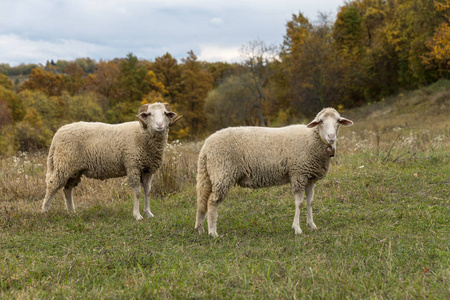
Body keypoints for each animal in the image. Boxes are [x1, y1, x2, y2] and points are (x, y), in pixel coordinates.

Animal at [40, 102, 181, 219]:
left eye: (165, 113)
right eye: (150, 114)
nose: (159, 125)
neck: (143, 134)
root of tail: (57, 134)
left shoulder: (148, 169)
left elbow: (147, 191)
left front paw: (148, 213)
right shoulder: (133, 165)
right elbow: (137, 192)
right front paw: (137, 215)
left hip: (75, 169)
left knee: (67, 189)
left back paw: (72, 212)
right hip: (64, 164)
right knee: (52, 184)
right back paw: (44, 211)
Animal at [195, 108, 354, 237]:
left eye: (338, 121)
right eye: (320, 121)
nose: (331, 137)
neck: (312, 140)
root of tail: (206, 146)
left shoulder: (310, 177)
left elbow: (310, 202)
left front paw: (312, 225)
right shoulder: (298, 174)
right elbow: (299, 203)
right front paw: (297, 228)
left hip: (210, 175)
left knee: (203, 200)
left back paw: (201, 228)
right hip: (222, 173)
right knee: (212, 202)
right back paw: (213, 232)